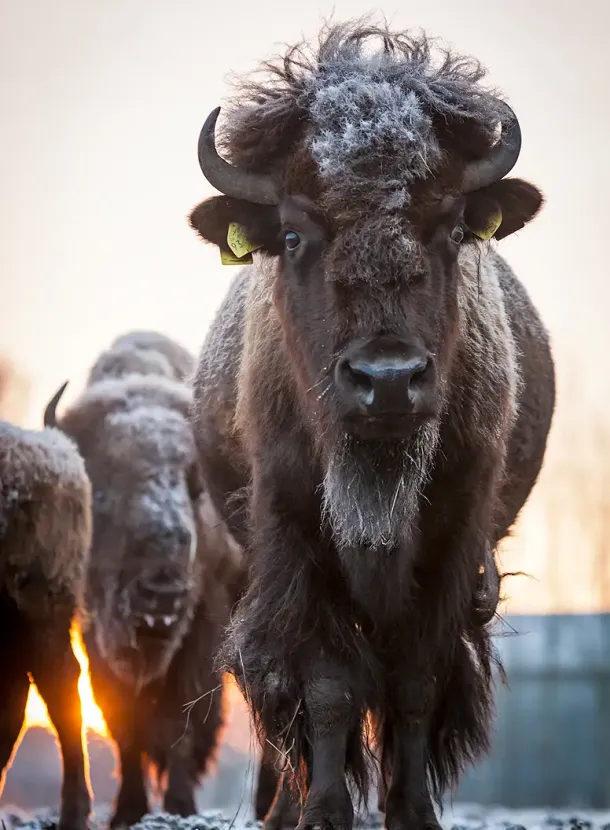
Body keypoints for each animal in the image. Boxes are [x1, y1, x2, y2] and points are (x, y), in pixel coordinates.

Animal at [188, 21, 556, 830]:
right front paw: (325, 812)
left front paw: (412, 810)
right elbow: (326, 686)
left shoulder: (451, 545)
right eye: (294, 235)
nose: (387, 379)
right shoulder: (297, 540)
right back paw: (281, 809)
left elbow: (414, 681)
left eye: (451, 227)